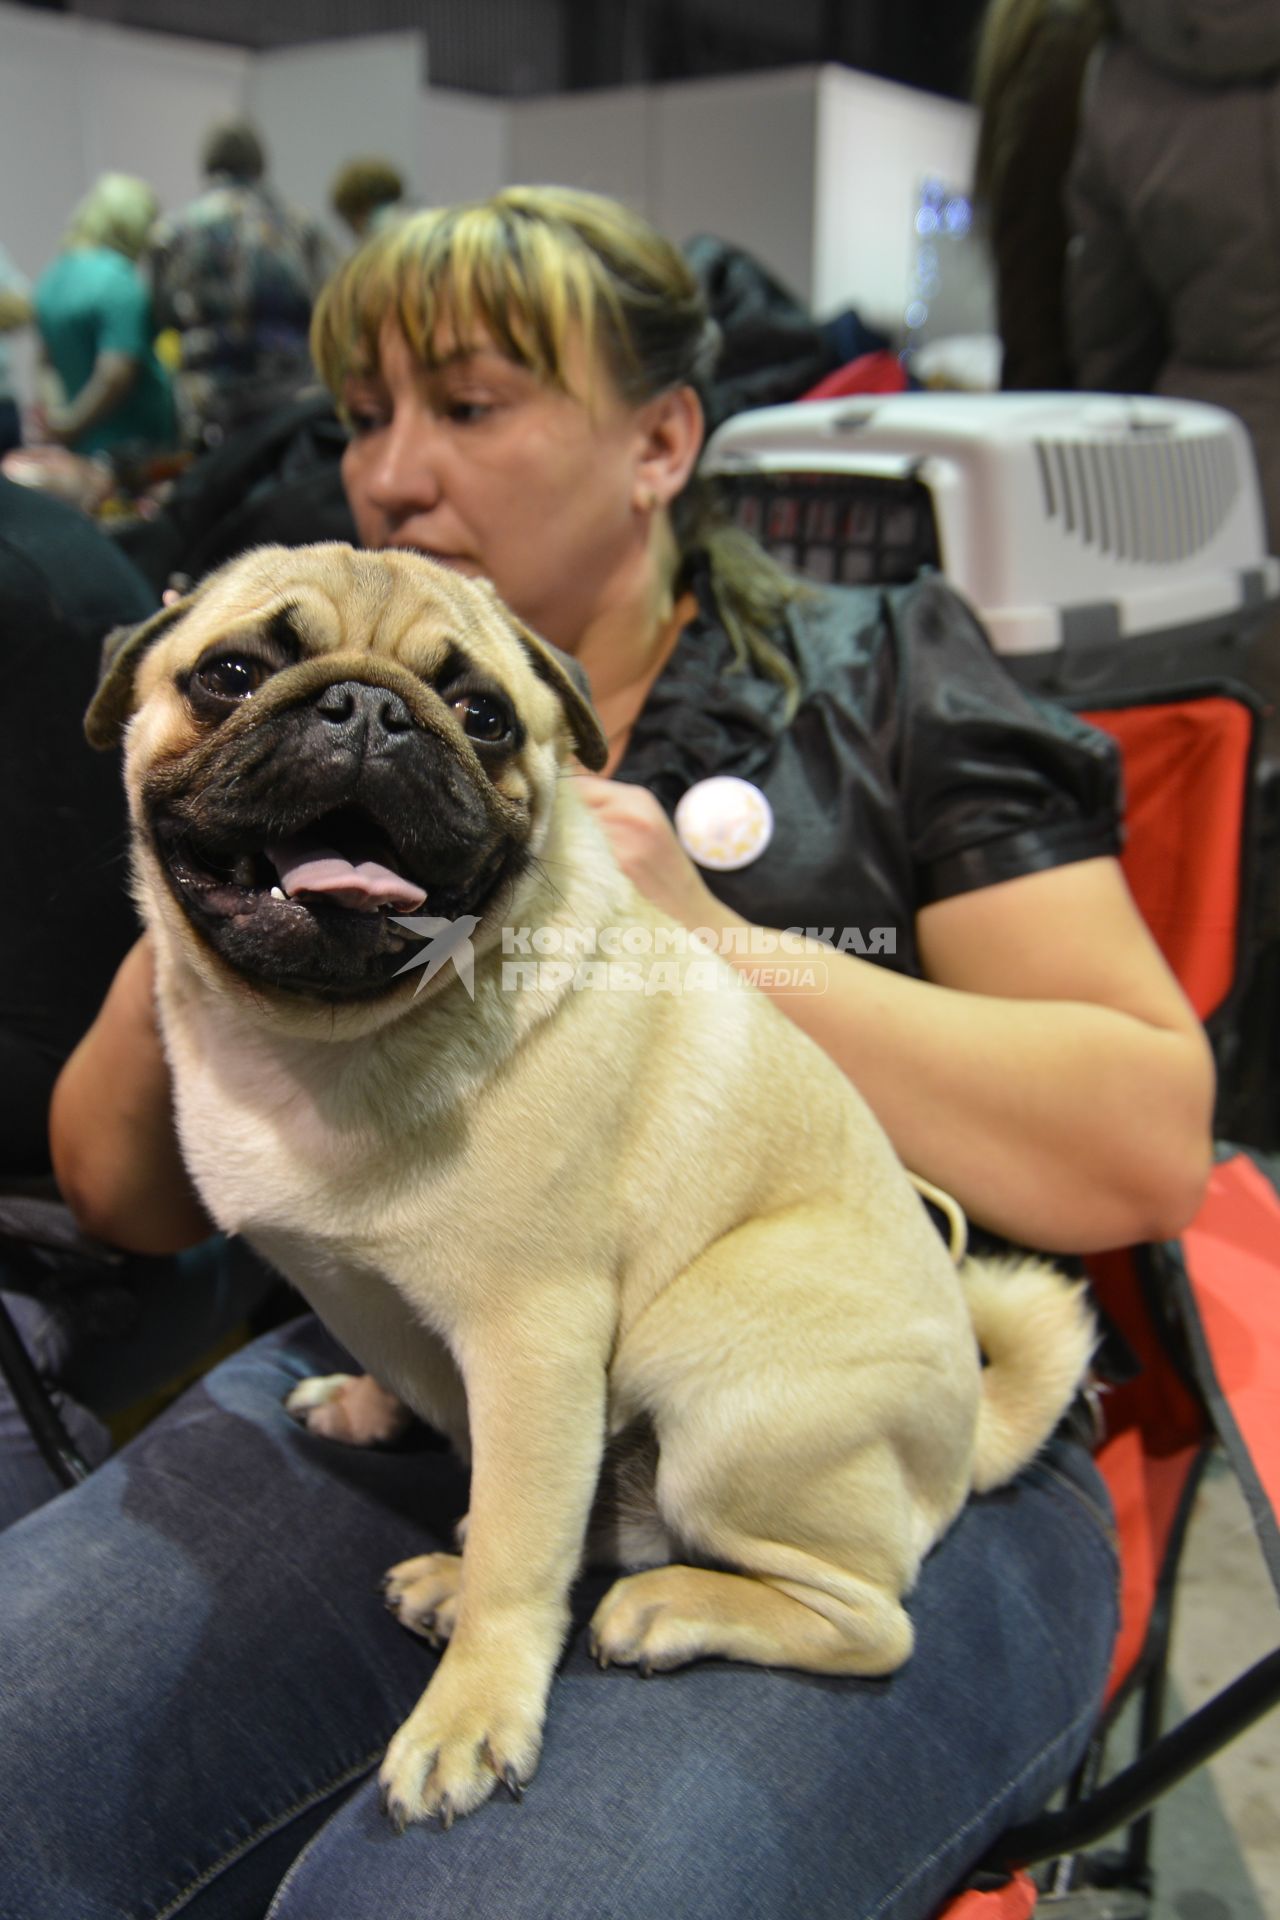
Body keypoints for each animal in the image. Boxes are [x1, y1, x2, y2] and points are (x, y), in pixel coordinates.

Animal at [87, 541, 1090, 1827]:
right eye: (228, 674)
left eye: (481, 717)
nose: (365, 709)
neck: (321, 1039)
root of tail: (967, 1443)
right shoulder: (362, 1297)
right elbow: (414, 1386)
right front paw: (371, 1403)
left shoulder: (533, 1342)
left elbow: (522, 1553)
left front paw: (470, 1717)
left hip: (713, 1370)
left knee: (868, 1622)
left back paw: (658, 1610)